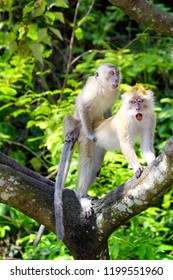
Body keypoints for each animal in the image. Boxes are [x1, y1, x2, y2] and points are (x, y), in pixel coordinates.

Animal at [76, 83, 156, 217]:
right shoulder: (124, 122)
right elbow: (125, 144)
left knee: (95, 167)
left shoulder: (150, 121)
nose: (137, 108)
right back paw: (81, 196)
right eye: (132, 101)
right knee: (88, 163)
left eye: (140, 100)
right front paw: (137, 167)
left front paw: (152, 161)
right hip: (86, 141)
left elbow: (146, 146)